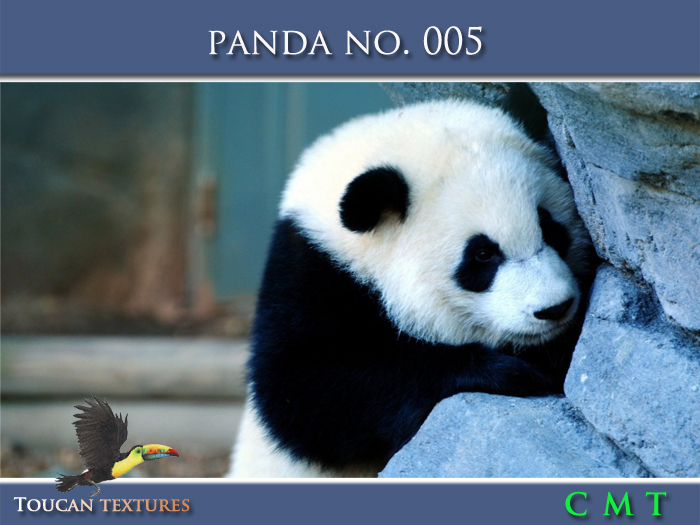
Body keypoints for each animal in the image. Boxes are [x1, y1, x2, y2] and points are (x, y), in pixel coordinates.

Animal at [228, 85, 594, 478]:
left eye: (550, 227)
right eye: (482, 254)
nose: (554, 308)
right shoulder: (310, 275)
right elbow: (305, 394)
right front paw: (512, 372)